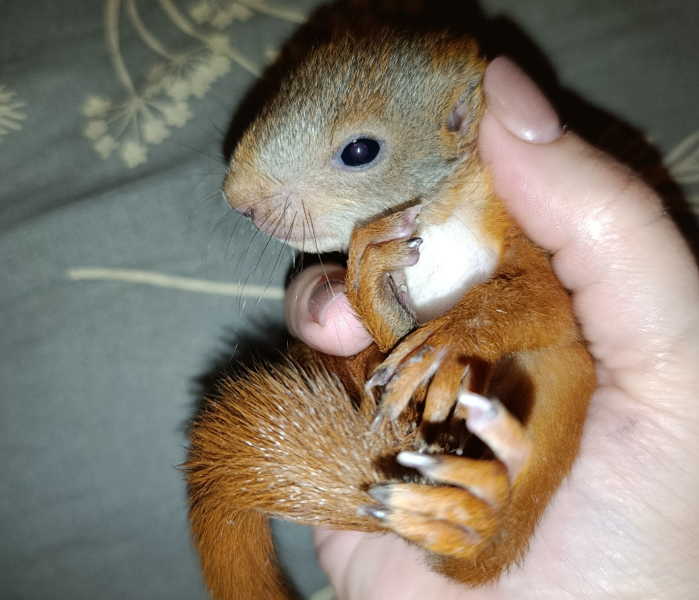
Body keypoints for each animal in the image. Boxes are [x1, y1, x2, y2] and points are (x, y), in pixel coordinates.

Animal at [185, 31, 596, 600]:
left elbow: (545, 307)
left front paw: (444, 343)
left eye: (360, 151)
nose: (236, 199)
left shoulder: (522, 240)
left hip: (563, 388)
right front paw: (367, 279)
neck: (442, 213)